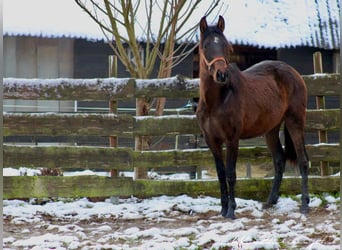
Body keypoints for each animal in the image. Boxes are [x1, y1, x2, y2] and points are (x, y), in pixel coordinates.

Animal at [195, 16, 310, 219]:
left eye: (226, 46)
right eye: (206, 46)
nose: (221, 75)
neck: (216, 101)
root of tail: (293, 73)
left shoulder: (232, 139)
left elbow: (231, 174)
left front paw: (231, 211)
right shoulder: (212, 141)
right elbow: (220, 174)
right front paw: (223, 209)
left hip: (295, 121)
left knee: (303, 160)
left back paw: (304, 205)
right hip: (271, 129)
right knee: (279, 160)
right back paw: (271, 201)